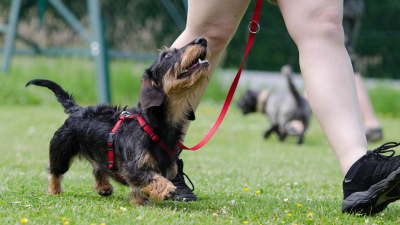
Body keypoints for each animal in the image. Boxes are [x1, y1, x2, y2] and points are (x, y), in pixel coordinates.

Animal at [26, 37, 211, 205]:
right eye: (167, 55)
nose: (202, 40)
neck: (152, 126)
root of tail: (78, 109)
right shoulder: (132, 168)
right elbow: (151, 177)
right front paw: (166, 189)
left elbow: (142, 187)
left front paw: (139, 201)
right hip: (61, 152)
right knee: (54, 172)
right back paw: (54, 190)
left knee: (98, 168)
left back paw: (104, 187)